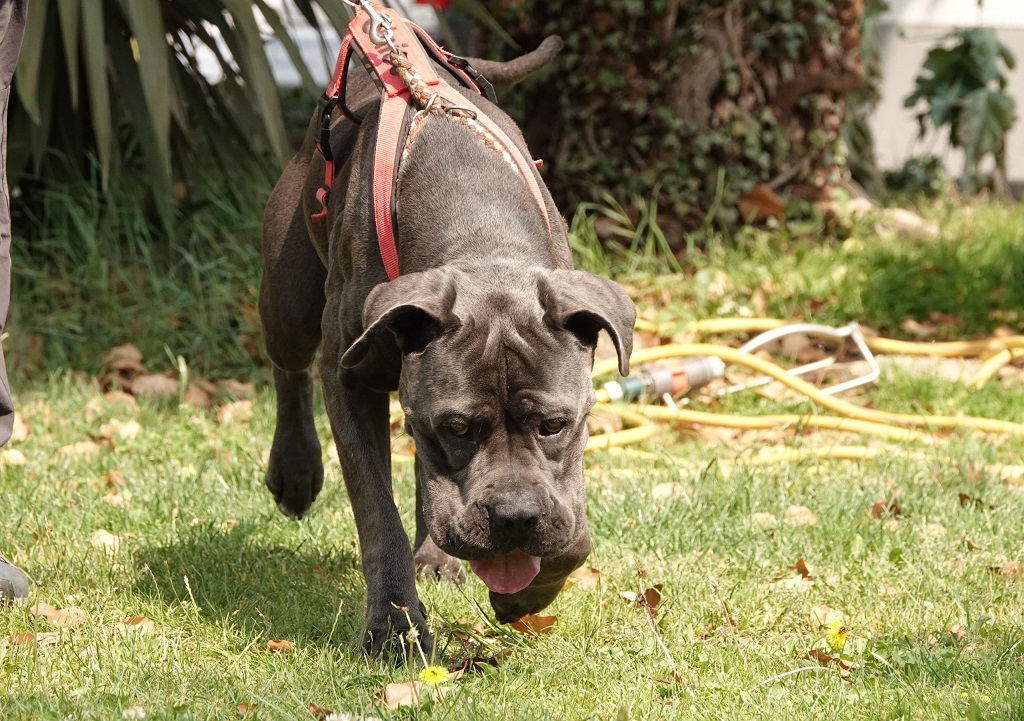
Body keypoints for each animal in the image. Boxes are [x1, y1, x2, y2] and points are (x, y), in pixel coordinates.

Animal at [259, 20, 635, 657]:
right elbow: (377, 515)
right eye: (457, 428)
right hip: (288, 299)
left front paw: (526, 592)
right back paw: (297, 470)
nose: (513, 517)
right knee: (289, 367)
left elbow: (574, 530)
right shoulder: (348, 377)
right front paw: (395, 628)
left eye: (554, 425)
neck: (479, 242)